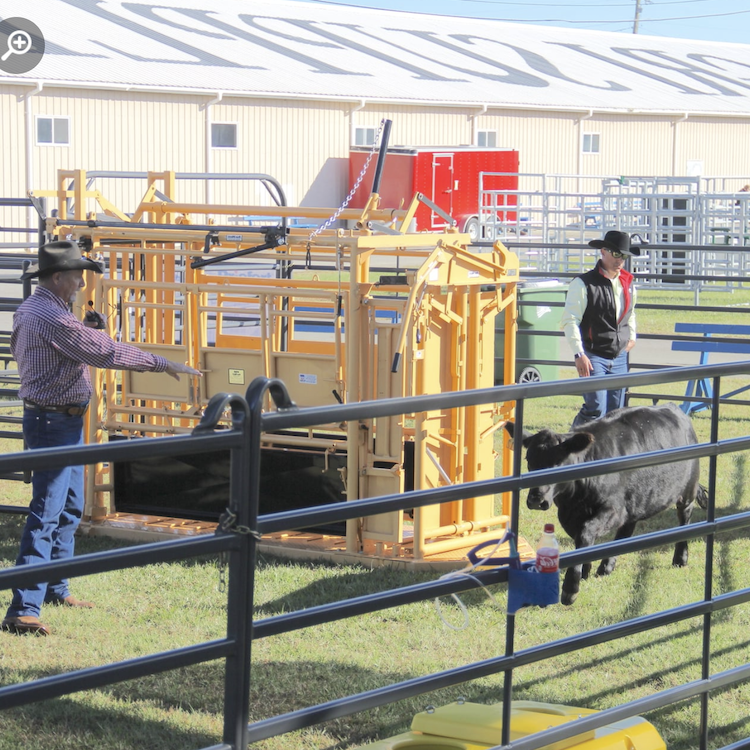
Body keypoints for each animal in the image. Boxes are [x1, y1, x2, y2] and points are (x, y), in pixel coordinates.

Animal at [508, 406, 708, 604]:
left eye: (558, 463)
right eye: (529, 461)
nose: (536, 499)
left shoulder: (614, 510)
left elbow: (585, 533)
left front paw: (570, 588)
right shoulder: (568, 514)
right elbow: (582, 539)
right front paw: (585, 570)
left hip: (687, 493)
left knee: (684, 520)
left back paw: (680, 558)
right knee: (625, 533)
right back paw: (606, 567)